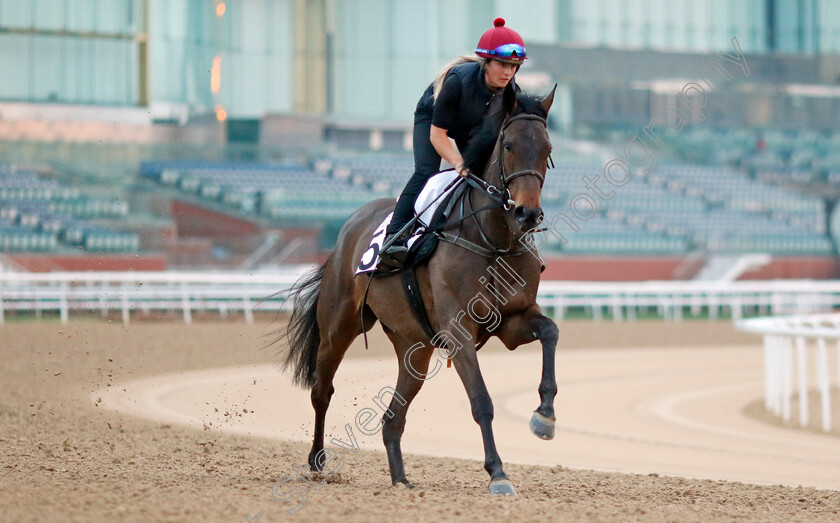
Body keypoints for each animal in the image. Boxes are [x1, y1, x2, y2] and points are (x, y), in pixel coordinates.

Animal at [280, 84, 556, 498]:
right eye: (508, 145)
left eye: (547, 148)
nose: (527, 213)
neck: (492, 240)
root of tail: (348, 227)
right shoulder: (458, 331)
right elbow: (481, 401)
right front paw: (498, 473)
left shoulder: (511, 321)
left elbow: (550, 331)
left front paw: (545, 417)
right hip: (339, 325)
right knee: (321, 390)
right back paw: (317, 462)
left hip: (415, 347)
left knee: (392, 419)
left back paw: (400, 480)